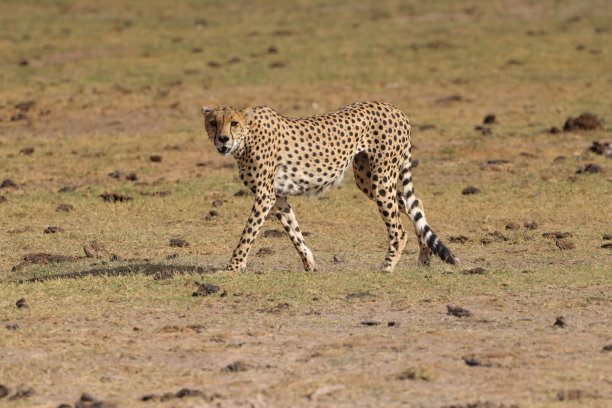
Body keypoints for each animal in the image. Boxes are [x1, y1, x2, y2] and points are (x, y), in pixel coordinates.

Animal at [202, 101, 460, 272]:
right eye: (213, 123)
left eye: (234, 123)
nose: (222, 139)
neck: (246, 138)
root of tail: (396, 109)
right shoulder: (278, 196)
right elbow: (294, 231)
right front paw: (309, 265)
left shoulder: (265, 195)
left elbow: (248, 232)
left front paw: (233, 267)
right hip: (366, 179)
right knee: (415, 204)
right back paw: (424, 258)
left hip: (381, 179)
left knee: (398, 229)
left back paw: (387, 267)